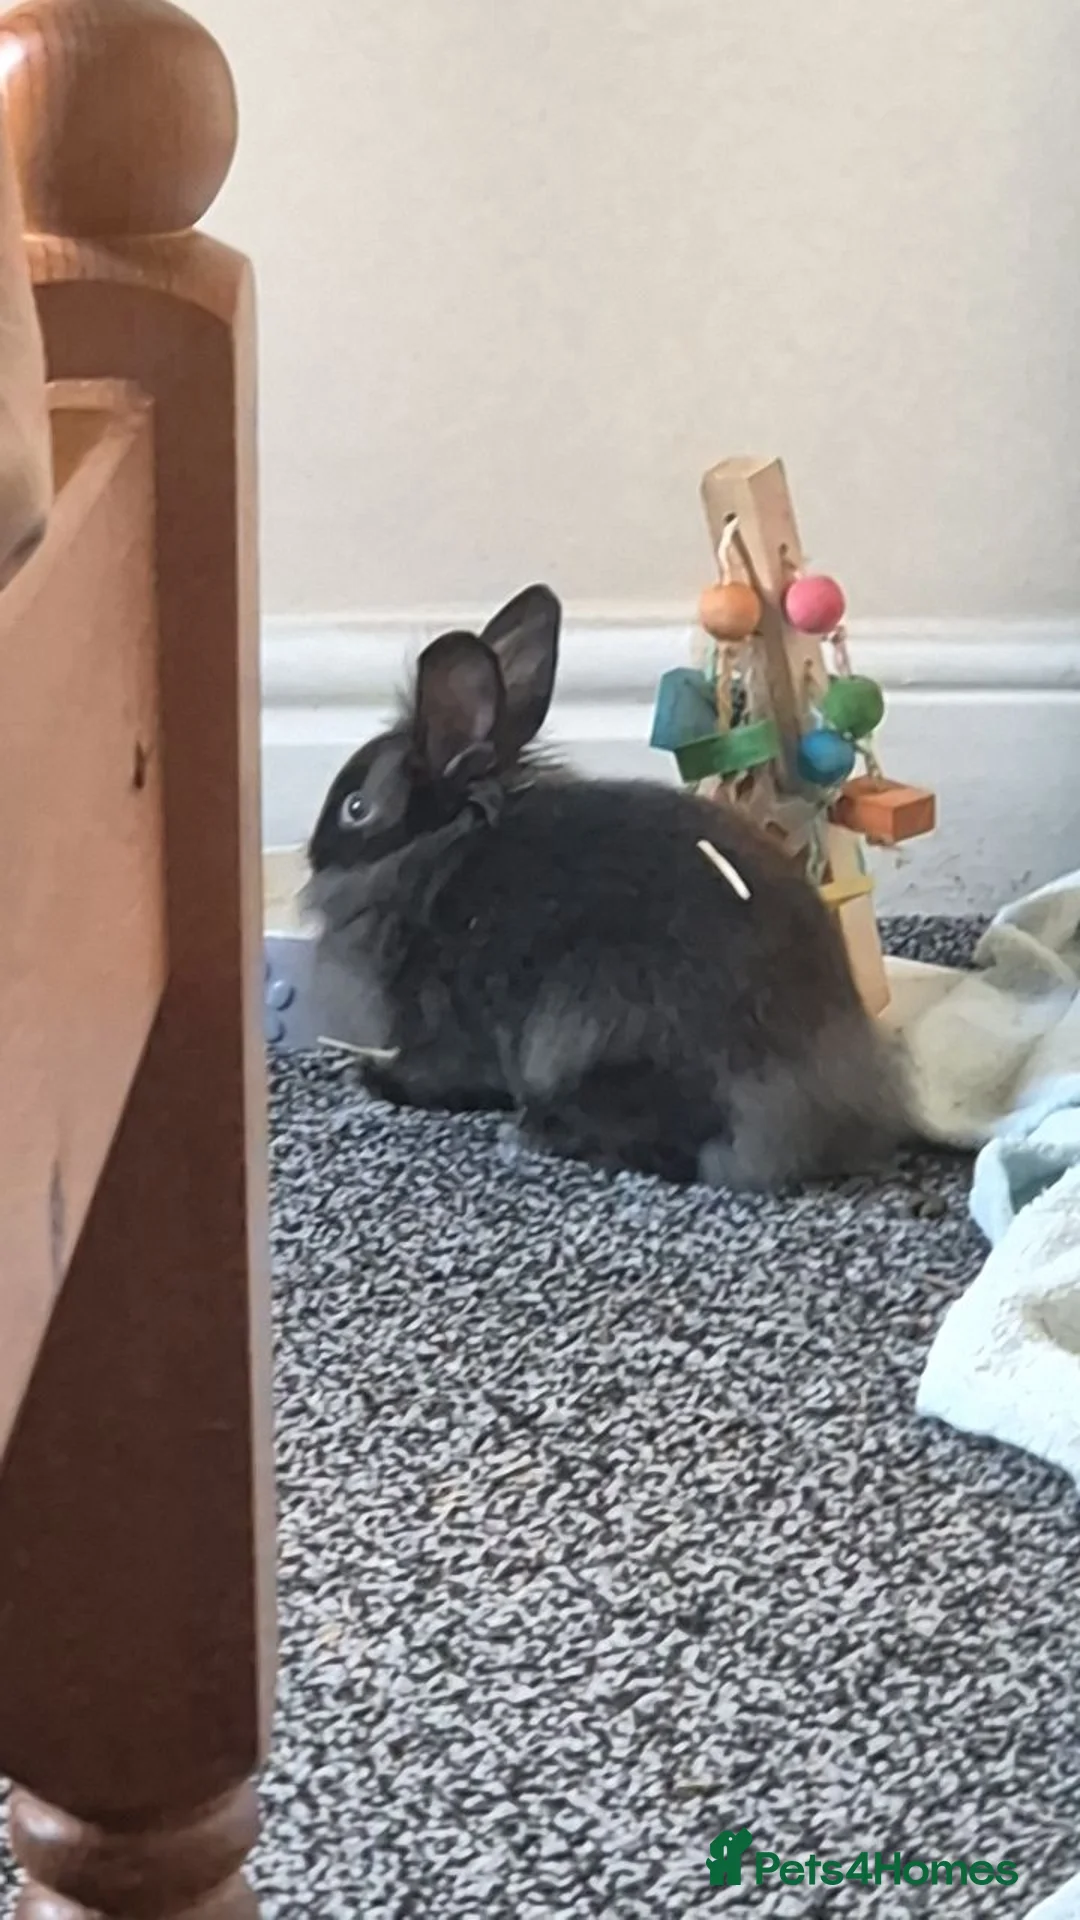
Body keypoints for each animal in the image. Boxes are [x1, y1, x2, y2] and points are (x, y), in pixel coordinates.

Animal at [307, 584, 911, 1189]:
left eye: (355, 808)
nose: (313, 854)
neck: (434, 847)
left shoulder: (447, 1019)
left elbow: (444, 1070)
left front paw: (373, 1078)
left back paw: (537, 1131)